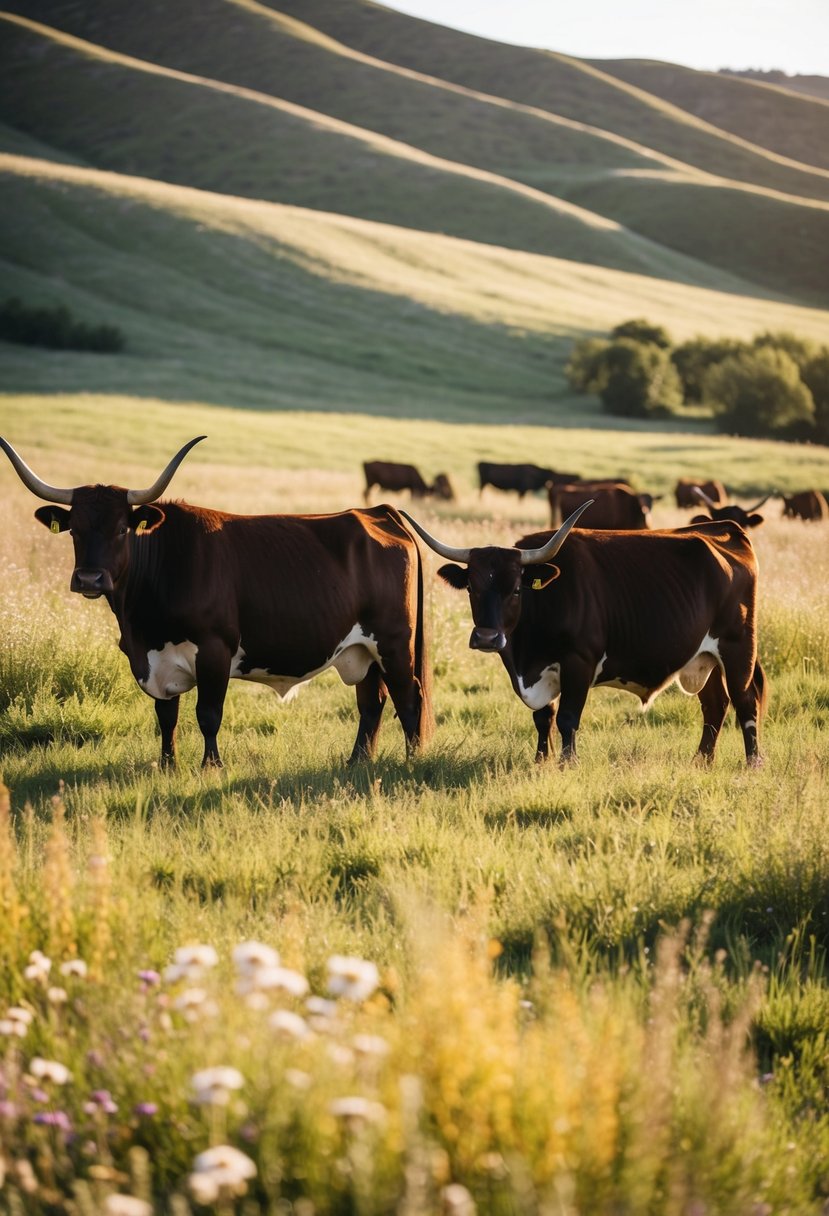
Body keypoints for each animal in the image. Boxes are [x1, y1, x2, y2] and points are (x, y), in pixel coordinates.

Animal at [1, 440, 432, 768]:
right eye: (74, 529)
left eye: (123, 529)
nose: (90, 579)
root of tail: (377, 513)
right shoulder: (153, 661)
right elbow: (167, 717)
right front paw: (168, 766)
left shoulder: (214, 650)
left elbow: (207, 714)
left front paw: (211, 766)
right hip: (362, 649)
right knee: (372, 701)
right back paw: (357, 761)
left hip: (395, 643)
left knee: (409, 697)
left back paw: (412, 762)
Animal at [401, 503, 763, 768]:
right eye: (472, 588)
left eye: (516, 589)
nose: (488, 639)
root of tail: (724, 529)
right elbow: (543, 717)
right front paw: (541, 762)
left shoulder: (579, 663)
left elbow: (567, 718)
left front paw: (567, 764)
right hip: (704, 657)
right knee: (715, 705)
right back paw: (701, 761)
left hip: (737, 648)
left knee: (745, 701)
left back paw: (753, 763)